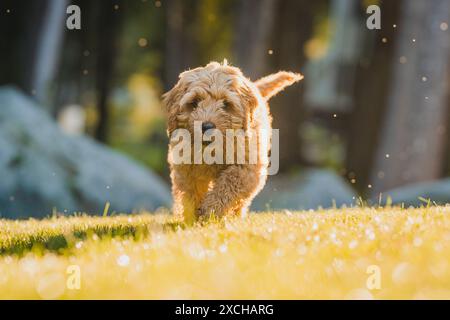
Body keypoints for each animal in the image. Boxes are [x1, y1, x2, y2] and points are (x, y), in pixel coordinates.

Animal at [163, 62, 302, 222]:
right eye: (194, 102)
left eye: (225, 104)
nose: (207, 126)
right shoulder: (187, 169)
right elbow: (191, 192)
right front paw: (194, 216)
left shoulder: (247, 167)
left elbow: (228, 184)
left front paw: (210, 210)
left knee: (241, 201)